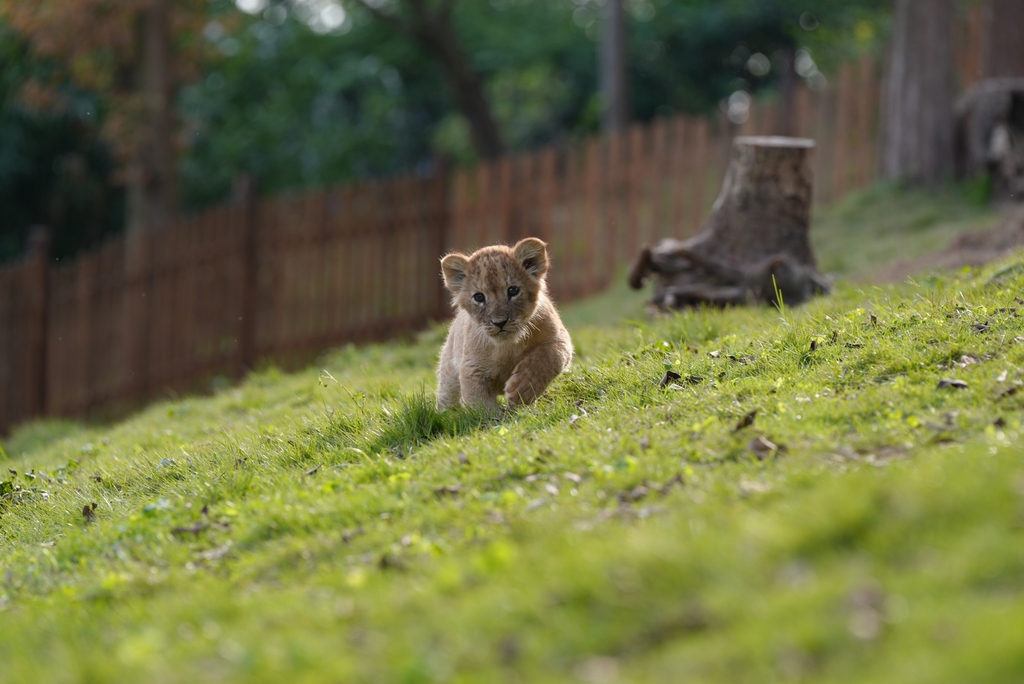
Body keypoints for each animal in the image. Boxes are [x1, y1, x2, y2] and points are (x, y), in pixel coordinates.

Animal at [436, 237, 573, 412]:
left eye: (513, 290)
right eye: (479, 297)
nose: (499, 322)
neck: (508, 346)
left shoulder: (558, 338)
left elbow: (548, 357)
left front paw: (522, 389)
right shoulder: (472, 368)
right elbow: (481, 405)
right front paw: (496, 417)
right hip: (449, 373)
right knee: (447, 395)